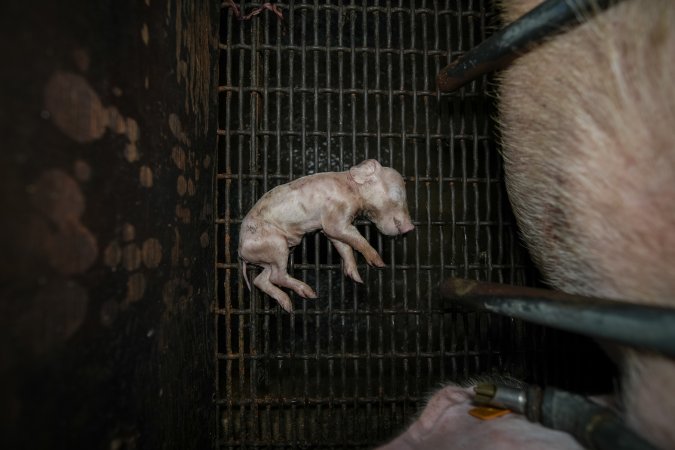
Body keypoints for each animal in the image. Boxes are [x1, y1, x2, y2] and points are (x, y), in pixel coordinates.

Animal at [238, 159, 418, 312]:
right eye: (397, 193)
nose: (410, 227)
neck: (354, 193)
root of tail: (241, 252)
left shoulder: (331, 228)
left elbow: (344, 247)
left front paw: (357, 278)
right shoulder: (335, 220)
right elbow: (356, 239)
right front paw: (379, 263)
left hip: (269, 257)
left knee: (260, 280)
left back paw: (288, 306)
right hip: (277, 245)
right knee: (277, 277)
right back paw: (310, 294)